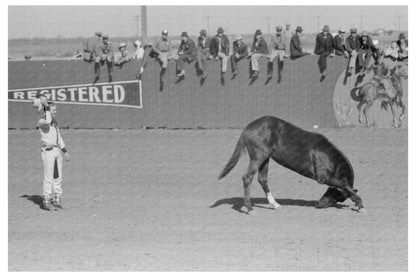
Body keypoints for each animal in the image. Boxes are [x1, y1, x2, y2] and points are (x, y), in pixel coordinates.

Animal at [218, 115, 364, 215]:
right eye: (339, 196)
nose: (319, 204)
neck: (327, 154)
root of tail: (248, 127)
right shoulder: (323, 178)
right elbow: (344, 184)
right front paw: (361, 205)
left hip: (265, 159)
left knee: (262, 179)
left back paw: (275, 205)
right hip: (258, 157)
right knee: (247, 177)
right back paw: (249, 208)